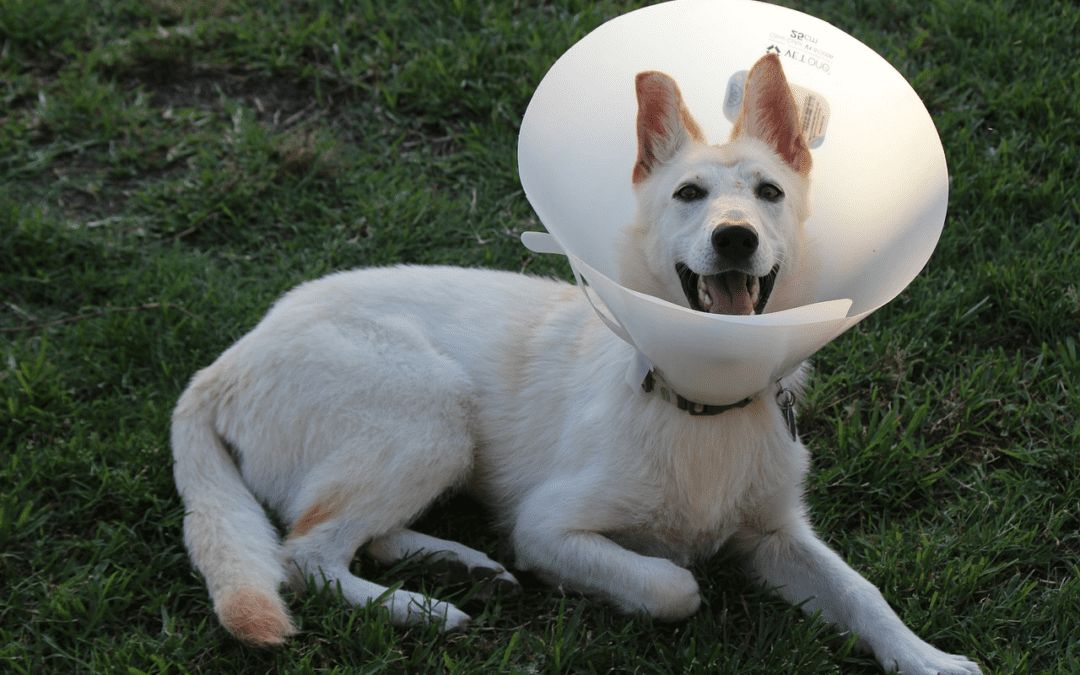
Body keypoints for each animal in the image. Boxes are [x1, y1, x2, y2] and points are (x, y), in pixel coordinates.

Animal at [170, 54, 980, 673]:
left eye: (769, 193)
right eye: (689, 194)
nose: (736, 239)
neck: (699, 402)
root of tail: (223, 365)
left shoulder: (780, 535)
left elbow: (862, 591)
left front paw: (926, 658)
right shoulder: (550, 528)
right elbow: (675, 584)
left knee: (359, 532)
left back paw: (458, 563)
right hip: (433, 410)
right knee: (305, 551)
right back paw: (420, 607)